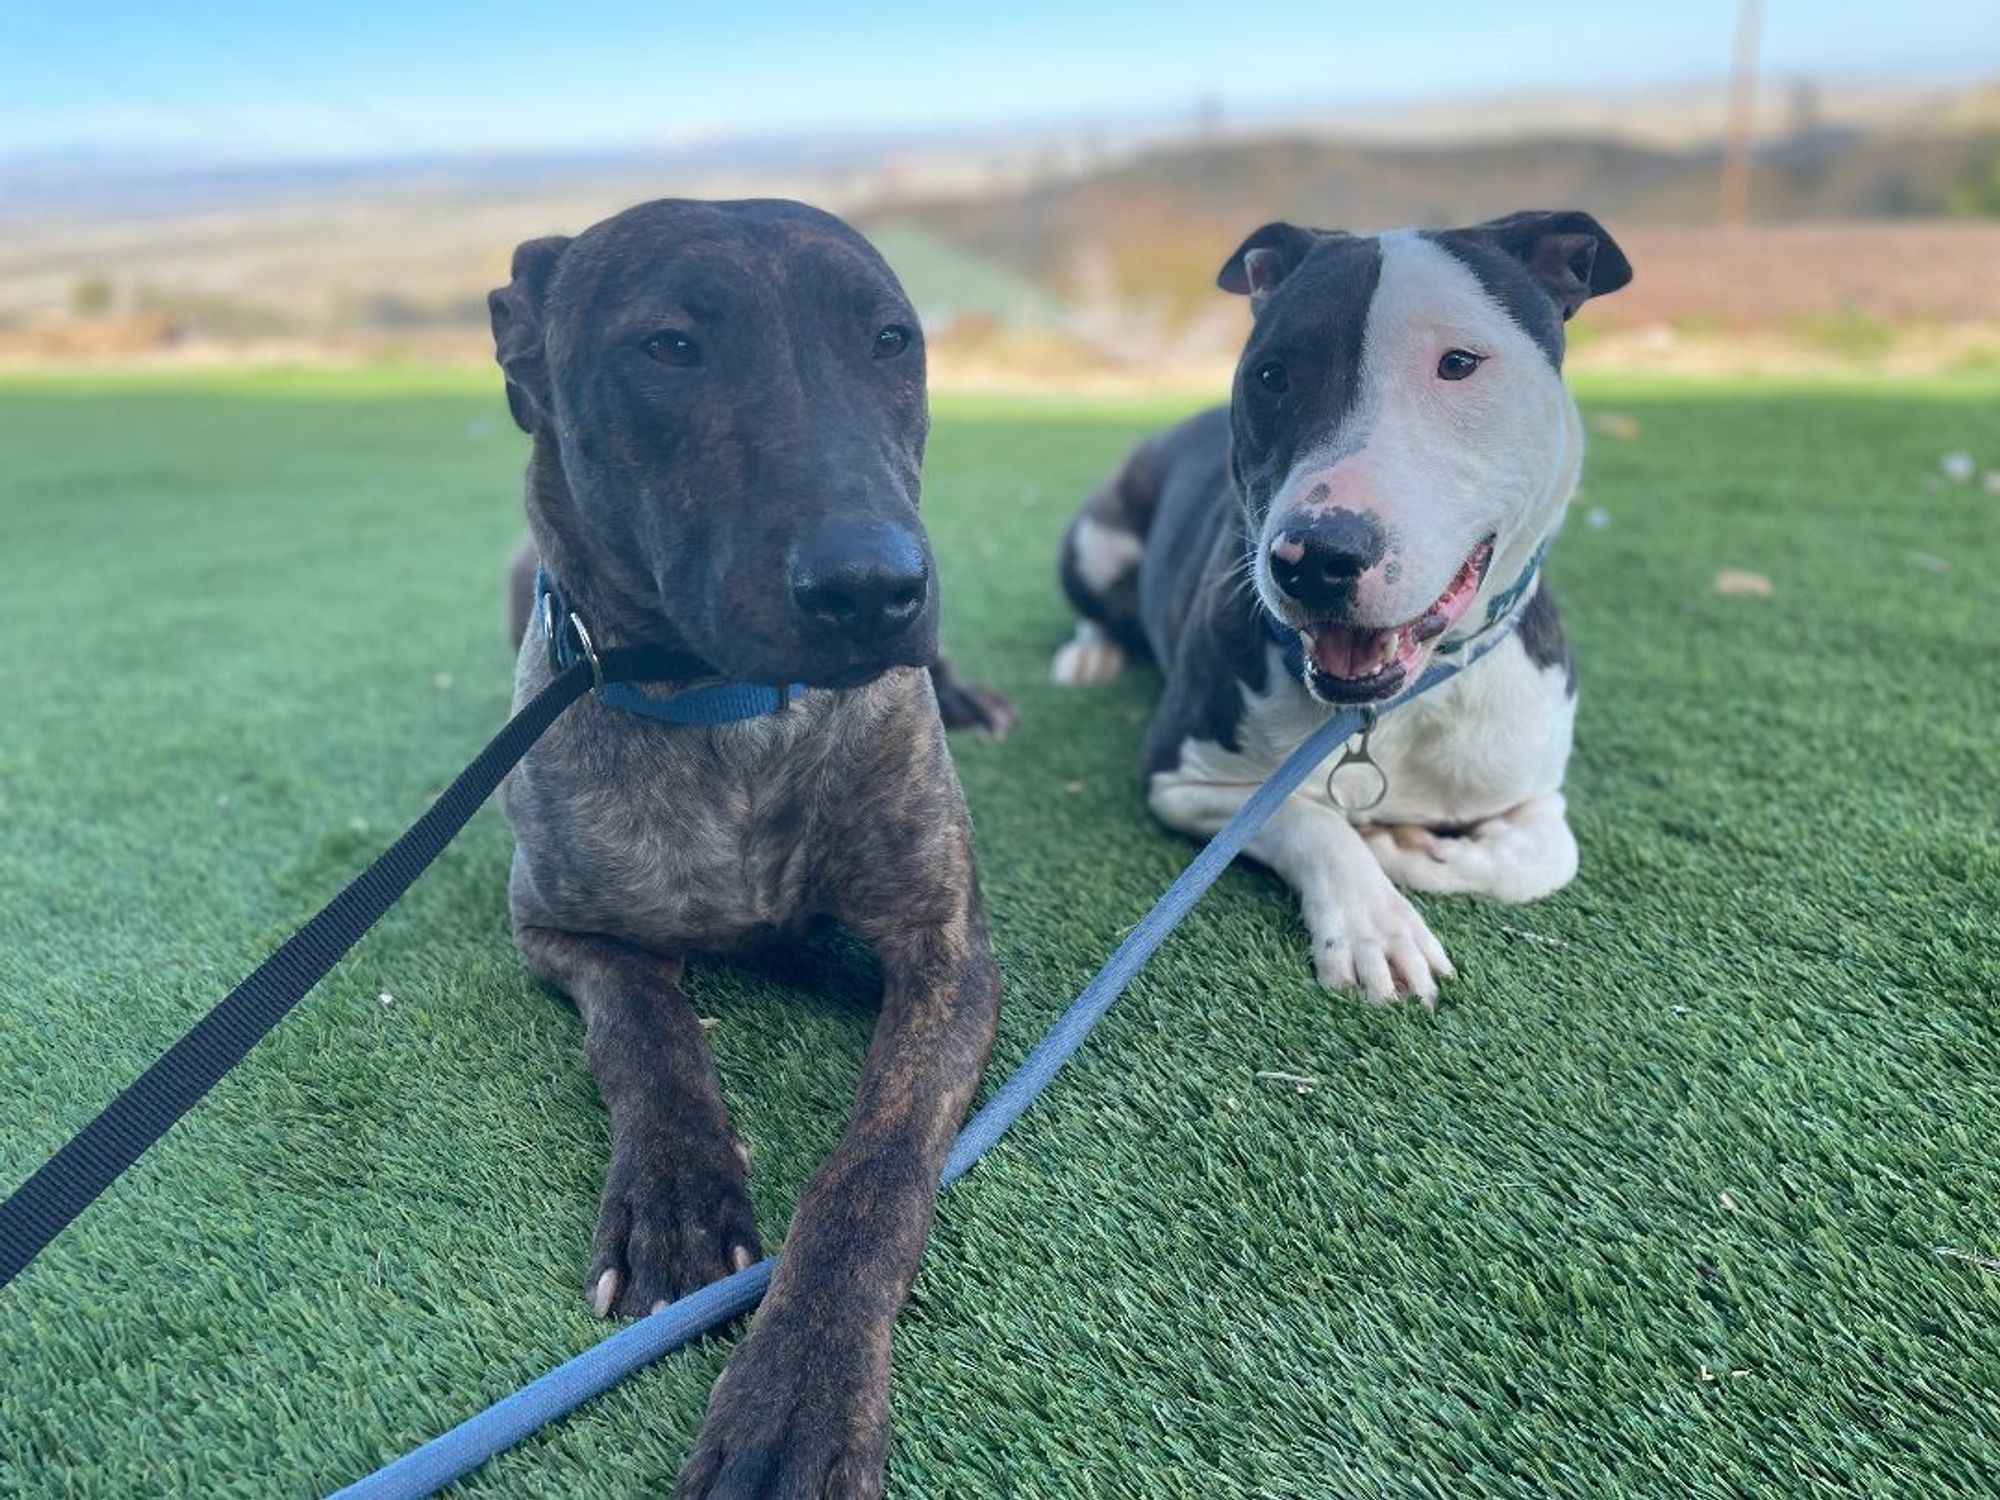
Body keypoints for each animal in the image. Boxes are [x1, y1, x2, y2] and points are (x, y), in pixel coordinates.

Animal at [492, 197, 1008, 1496]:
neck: (733, 715)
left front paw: (800, 1389)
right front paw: (677, 1189)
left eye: (890, 339)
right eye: (669, 347)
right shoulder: (554, 927)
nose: (871, 587)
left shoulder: (946, 954)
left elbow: (870, 1171)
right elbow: (647, 1030)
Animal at [1056, 212, 1632, 1012]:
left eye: (1459, 363)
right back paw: (1092, 652)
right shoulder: (1182, 779)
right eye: (1271, 375)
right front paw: (1374, 920)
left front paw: (1416, 850)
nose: (1315, 558)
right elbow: (1309, 817)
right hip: (1095, 537)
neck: (1392, 709)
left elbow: (1544, 858)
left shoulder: (1532, 778)